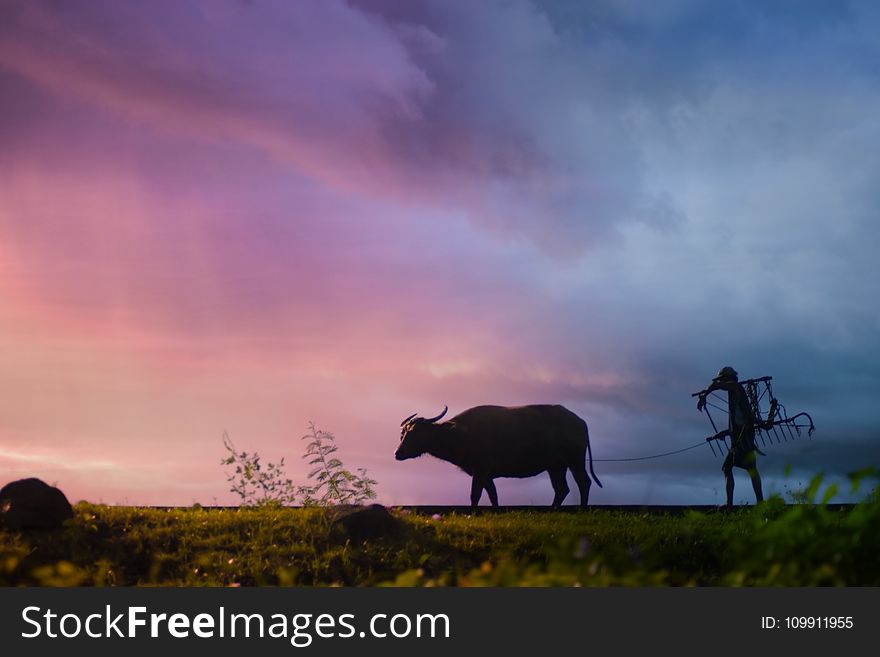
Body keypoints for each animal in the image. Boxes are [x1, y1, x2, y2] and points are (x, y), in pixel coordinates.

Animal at [396, 404, 600, 508]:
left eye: (416, 432)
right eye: (403, 433)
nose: (398, 453)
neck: (462, 434)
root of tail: (581, 422)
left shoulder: (480, 469)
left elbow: (475, 494)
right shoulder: (486, 474)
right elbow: (493, 495)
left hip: (575, 460)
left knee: (583, 482)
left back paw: (582, 509)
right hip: (556, 466)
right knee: (562, 489)